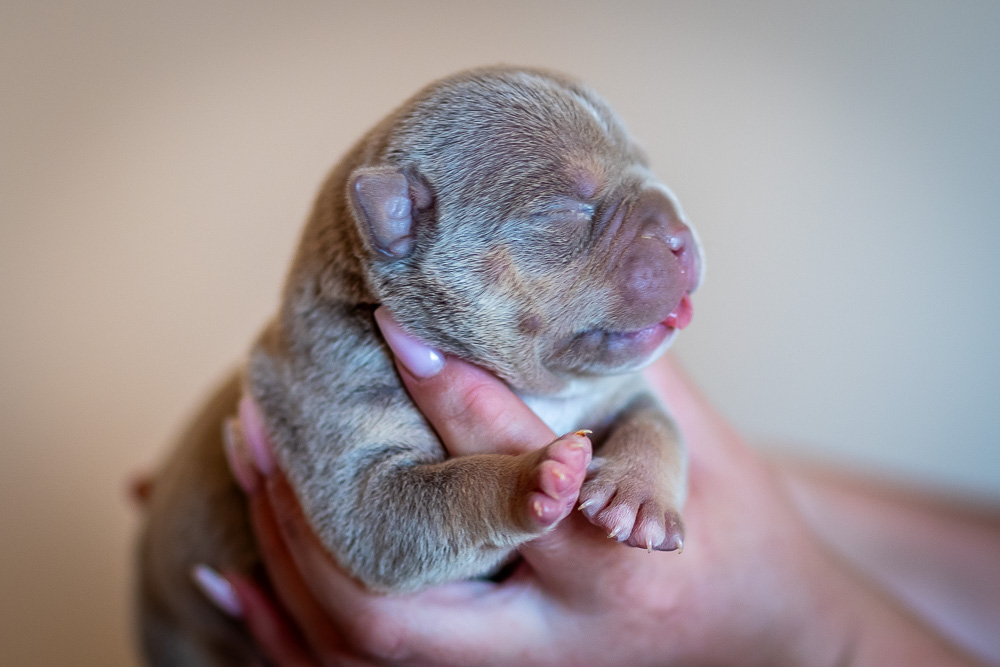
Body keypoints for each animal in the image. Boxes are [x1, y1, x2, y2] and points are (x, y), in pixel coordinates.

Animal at [136, 65, 703, 666]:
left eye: (648, 166)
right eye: (565, 211)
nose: (680, 235)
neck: (537, 391)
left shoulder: (617, 391)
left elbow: (656, 426)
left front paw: (639, 496)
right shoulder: (355, 469)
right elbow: (444, 495)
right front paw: (533, 479)